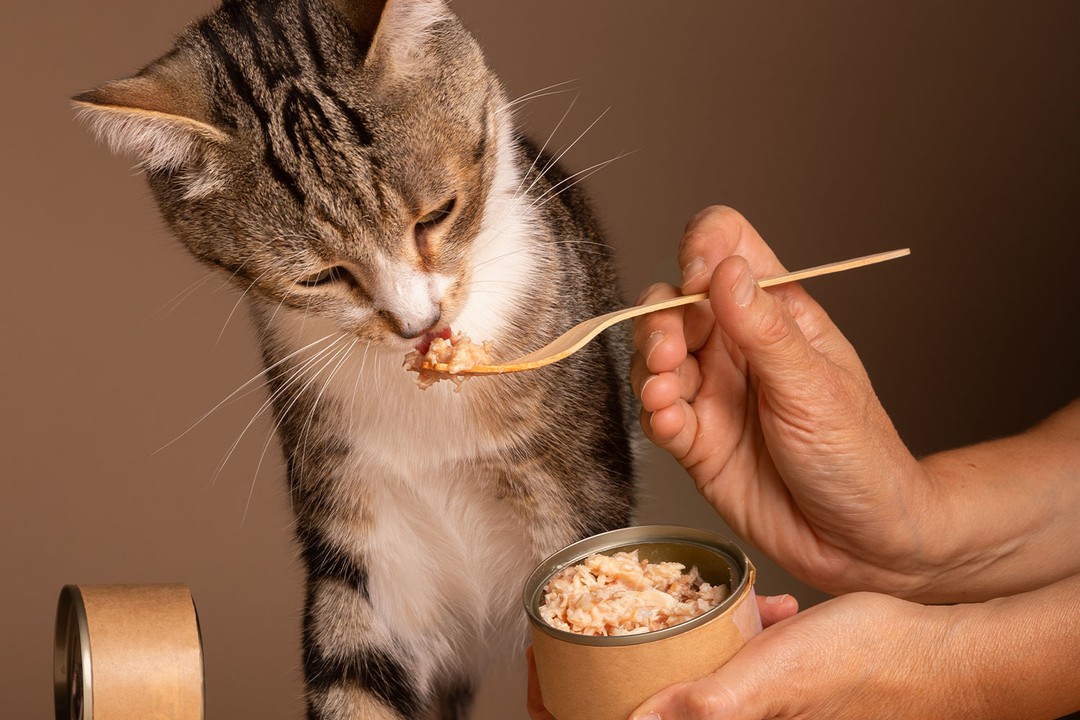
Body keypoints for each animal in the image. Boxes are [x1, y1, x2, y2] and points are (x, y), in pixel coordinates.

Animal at [76, 0, 635, 716]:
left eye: (438, 214)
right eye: (321, 276)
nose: (416, 325)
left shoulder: (572, 498)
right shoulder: (363, 527)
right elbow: (356, 674)